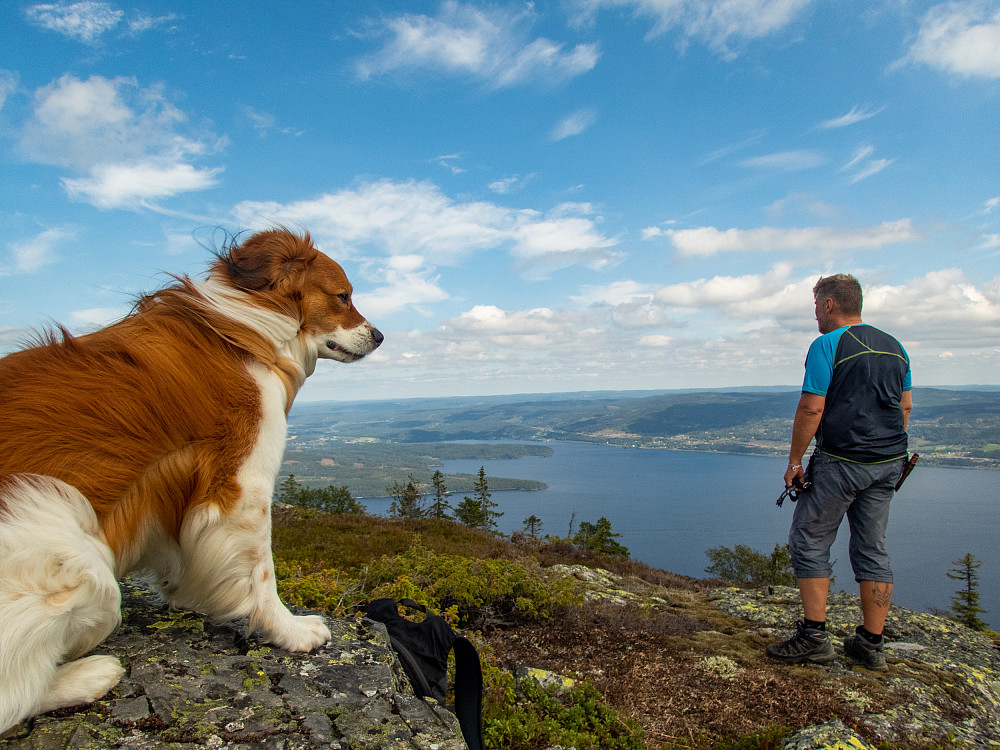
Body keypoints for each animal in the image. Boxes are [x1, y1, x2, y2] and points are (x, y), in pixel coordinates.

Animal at [0, 229, 382, 736]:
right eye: (343, 296)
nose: (380, 335)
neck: (251, 326)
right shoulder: (243, 485)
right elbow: (262, 575)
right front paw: (290, 631)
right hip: (68, 543)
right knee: (14, 697)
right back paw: (90, 675)